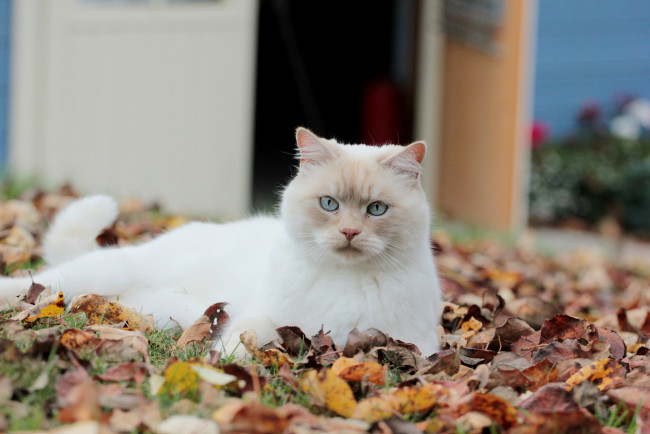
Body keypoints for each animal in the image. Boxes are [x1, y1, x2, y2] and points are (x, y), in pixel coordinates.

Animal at [0, 128, 440, 356]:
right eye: (329, 204)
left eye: (377, 209)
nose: (349, 233)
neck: (344, 281)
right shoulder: (265, 317)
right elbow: (242, 344)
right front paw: (225, 368)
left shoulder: (415, 345)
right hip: (102, 272)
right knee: (35, 282)